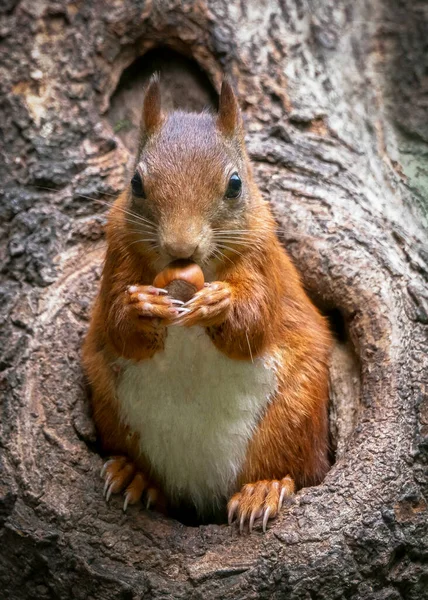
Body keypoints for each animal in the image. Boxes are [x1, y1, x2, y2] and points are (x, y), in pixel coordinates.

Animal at [82, 77, 332, 532]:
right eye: (136, 183)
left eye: (235, 184)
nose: (181, 247)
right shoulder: (117, 254)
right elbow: (117, 326)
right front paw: (141, 307)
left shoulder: (262, 257)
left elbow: (253, 323)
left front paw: (221, 304)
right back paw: (134, 477)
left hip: (294, 418)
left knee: (297, 471)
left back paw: (263, 489)